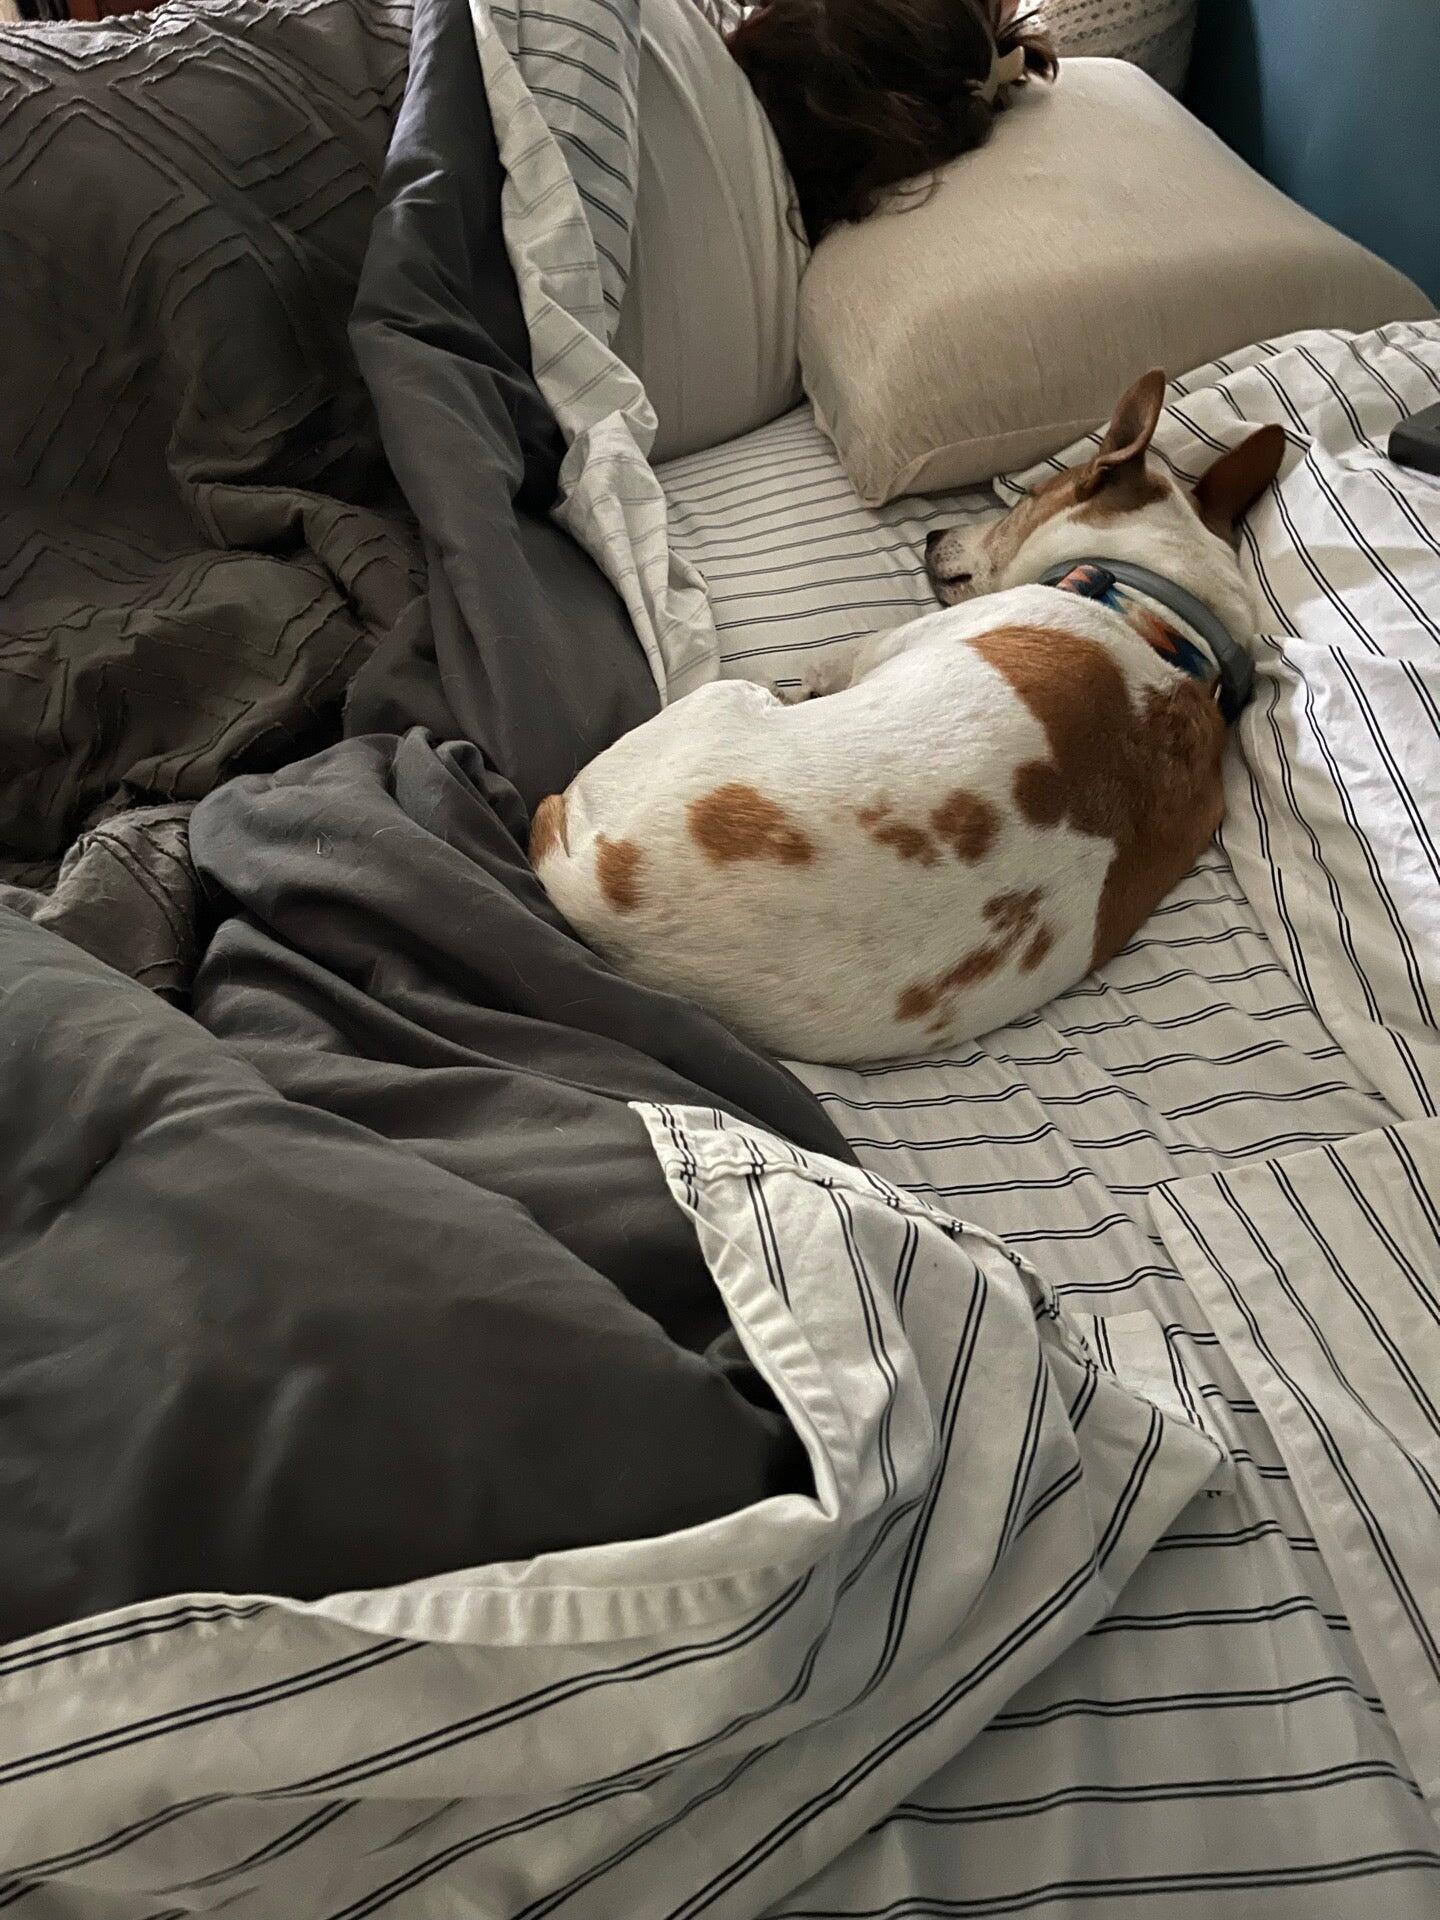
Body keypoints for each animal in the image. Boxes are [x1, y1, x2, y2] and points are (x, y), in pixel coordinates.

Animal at [530, 372, 1286, 1065]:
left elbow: (839, 663)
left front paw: (816, 680)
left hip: (718, 702)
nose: (934, 530)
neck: (1161, 618)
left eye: (1025, 497)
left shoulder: (883, 649)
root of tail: (592, 888)